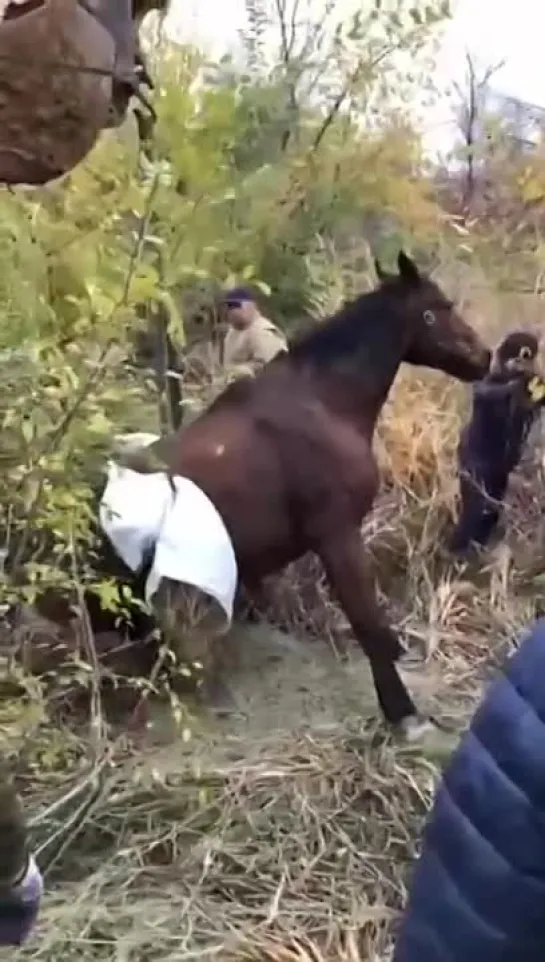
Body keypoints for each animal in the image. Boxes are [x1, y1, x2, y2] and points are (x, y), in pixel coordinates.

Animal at [152, 251, 488, 740]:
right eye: (437, 308)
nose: (486, 357)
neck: (324, 402)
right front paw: (402, 712)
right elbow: (366, 624)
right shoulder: (337, 537)